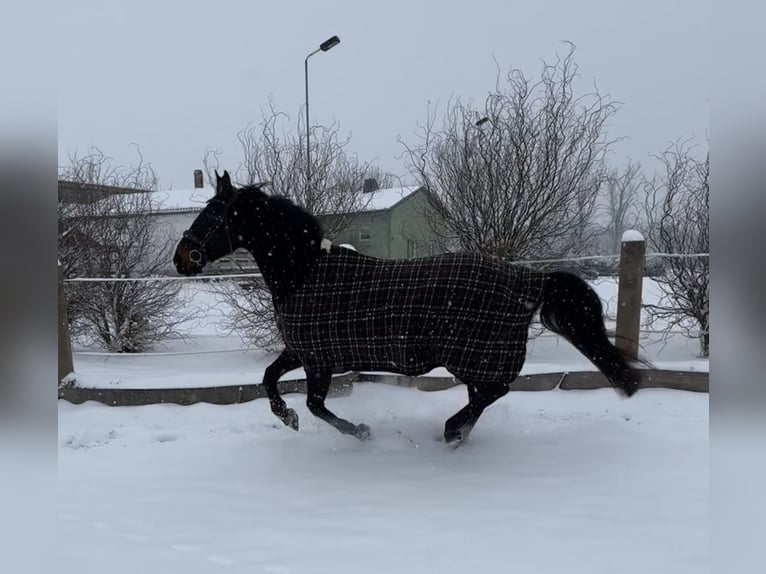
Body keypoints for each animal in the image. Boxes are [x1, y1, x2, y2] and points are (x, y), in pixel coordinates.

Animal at [176, 173, 640, 448]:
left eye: (213, 213)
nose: (182, 258)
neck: (305, 272)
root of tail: (528, 280)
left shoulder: (319, 360)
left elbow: (315, 405)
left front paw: (359, 432)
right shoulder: (303, 352)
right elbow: (270, 380)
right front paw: (286, 417)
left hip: (473, 356)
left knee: (494, 390)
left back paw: (452, 430)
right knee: (484, 395)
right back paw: (459, 431)